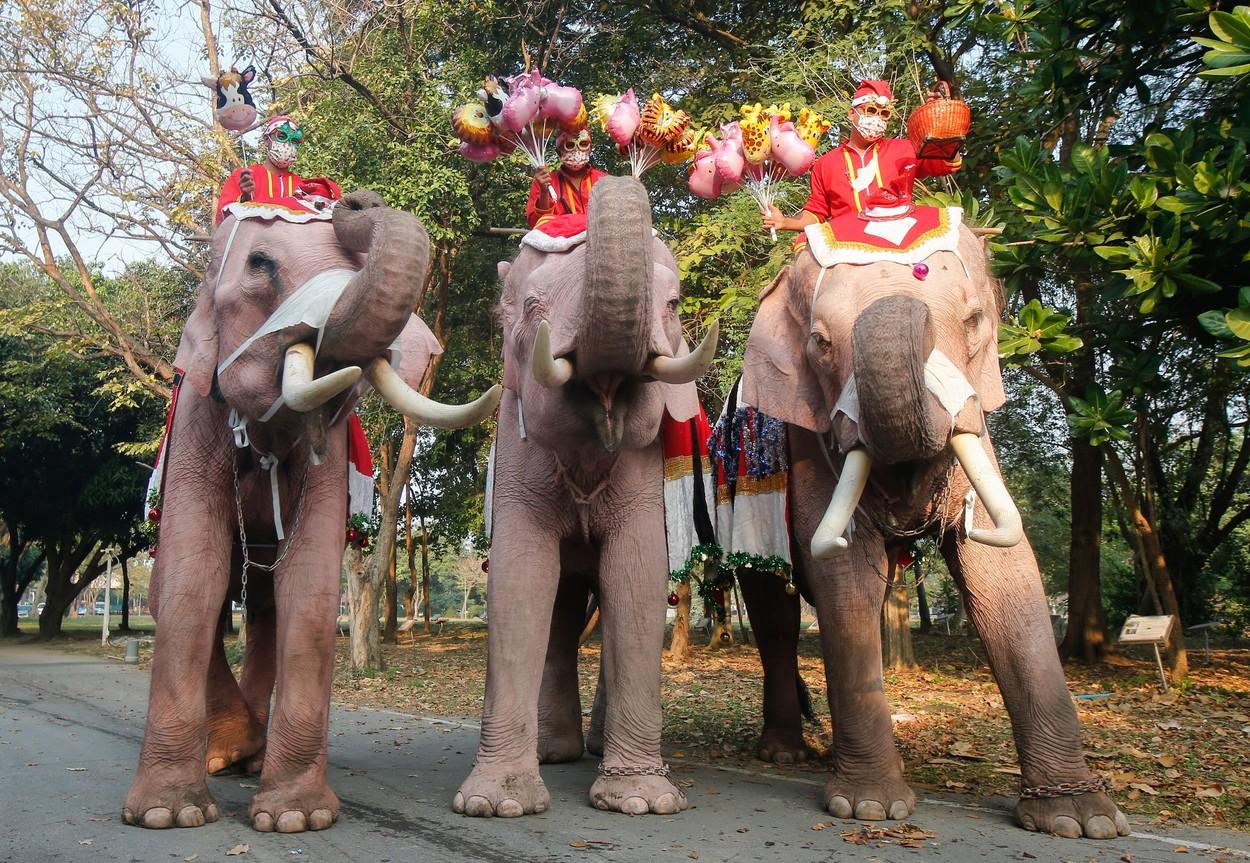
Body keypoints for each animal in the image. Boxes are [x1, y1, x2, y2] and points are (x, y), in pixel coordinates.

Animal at [123, 191, 497, 830]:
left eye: (352, 261)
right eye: (261, 264)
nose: (358, 200)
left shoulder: (333, 447)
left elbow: (311, 585)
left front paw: (294, 818)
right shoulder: (196, 414)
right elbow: (192, 578)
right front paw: (168, 816)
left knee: (266, 604)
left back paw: (249, 755)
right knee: (193, 589)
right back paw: (228, 752)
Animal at [455, 175, 720, 815]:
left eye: (673, 305)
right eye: (532, 308)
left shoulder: (644, 470)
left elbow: (637, 574)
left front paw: (643, 803)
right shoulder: (517, 450)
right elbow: (520, 578)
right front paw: (497, 805)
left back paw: (597, 752)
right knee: (562, 606)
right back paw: (555, 753)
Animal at [725, 218, 1135, 835]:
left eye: (973, 321)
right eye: (820, 343)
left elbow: (1002, 570)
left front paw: (1080, 820)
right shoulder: (808, 447)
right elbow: (846, 572)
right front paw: (870, 807)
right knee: (775, 614)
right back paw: (786, 754)